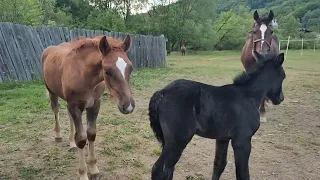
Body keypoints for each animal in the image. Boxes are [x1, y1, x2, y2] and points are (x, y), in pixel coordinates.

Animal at [41, 34, 135, 179]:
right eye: (107, 71)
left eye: (130, 68)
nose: (128, 106)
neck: (85, 77)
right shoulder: (75, 106)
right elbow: (81, 139)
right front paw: (83, 174)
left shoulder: (94, 105)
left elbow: (91, 134)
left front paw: (93, 169)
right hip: (51, 91)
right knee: (55, 109)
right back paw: (58, 135)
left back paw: (71, 143)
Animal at [149, 51, 286, 179]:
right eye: (283, 76)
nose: (281, 98)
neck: (249, 96)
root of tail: (162, 92)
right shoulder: (242, 141)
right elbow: (242, 173)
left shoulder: (223, 139)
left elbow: (219, 164)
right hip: (178, 140)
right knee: (159, 169)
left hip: (168, 141)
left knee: (168, 170)